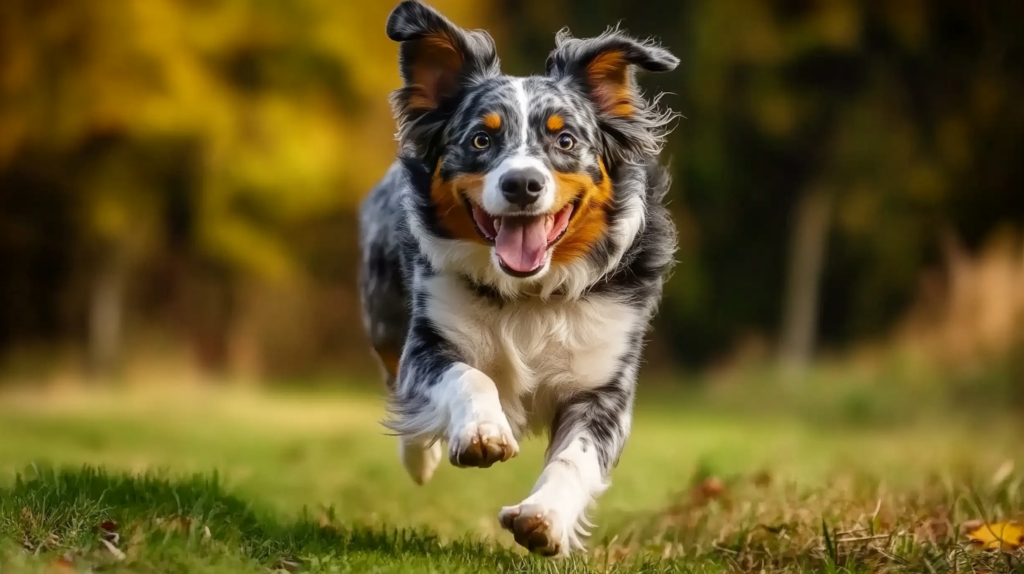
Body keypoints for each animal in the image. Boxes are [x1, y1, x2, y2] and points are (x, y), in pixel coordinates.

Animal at [360, 0, 679, 556]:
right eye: (481, 139)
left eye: (565, 139)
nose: (523, 184)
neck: (530, 293)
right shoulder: (429, 339)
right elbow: (467, 375)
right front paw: (482, 432)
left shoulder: (604, 385)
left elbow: (577, 456)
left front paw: (543, 517)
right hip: (382, 312)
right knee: (396, 380)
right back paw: (420, 456)